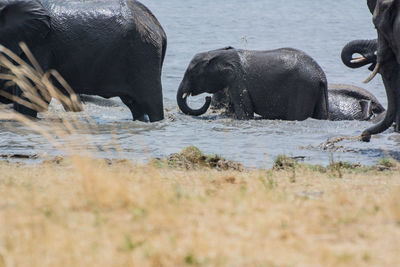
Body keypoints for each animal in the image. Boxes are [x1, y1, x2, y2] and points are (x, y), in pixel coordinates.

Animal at [0, 0, 166, 122]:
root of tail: (159, 28)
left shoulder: (38, 44)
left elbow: (30, 90)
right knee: (134, 105)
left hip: (144, 53)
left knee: (151, 104)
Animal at [177, 46, 328, 120]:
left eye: (191, 73)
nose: (207, 98)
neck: (218, 54)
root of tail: (321, 75)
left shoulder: (238, 81)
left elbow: (245, 113)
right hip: (315, 90)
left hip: (303, 89)